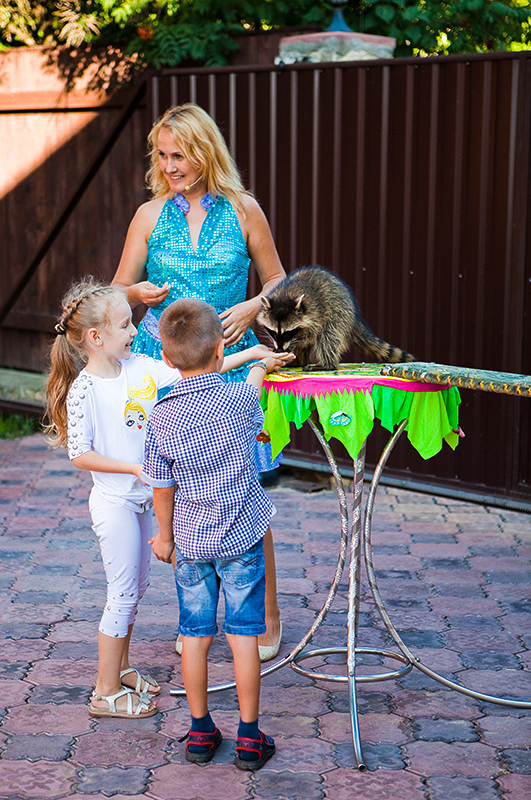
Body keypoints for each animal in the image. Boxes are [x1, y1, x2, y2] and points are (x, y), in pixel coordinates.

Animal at [258, 266, 416, 372]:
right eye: (273, 332)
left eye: (287, 333)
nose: (280, 349)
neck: (285, 295)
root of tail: (355, 317)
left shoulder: (315, 311)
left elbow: (310, 334)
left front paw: (293, 343)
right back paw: (300, 361)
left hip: (339, 313)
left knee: (328, 336)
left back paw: (327, 364)